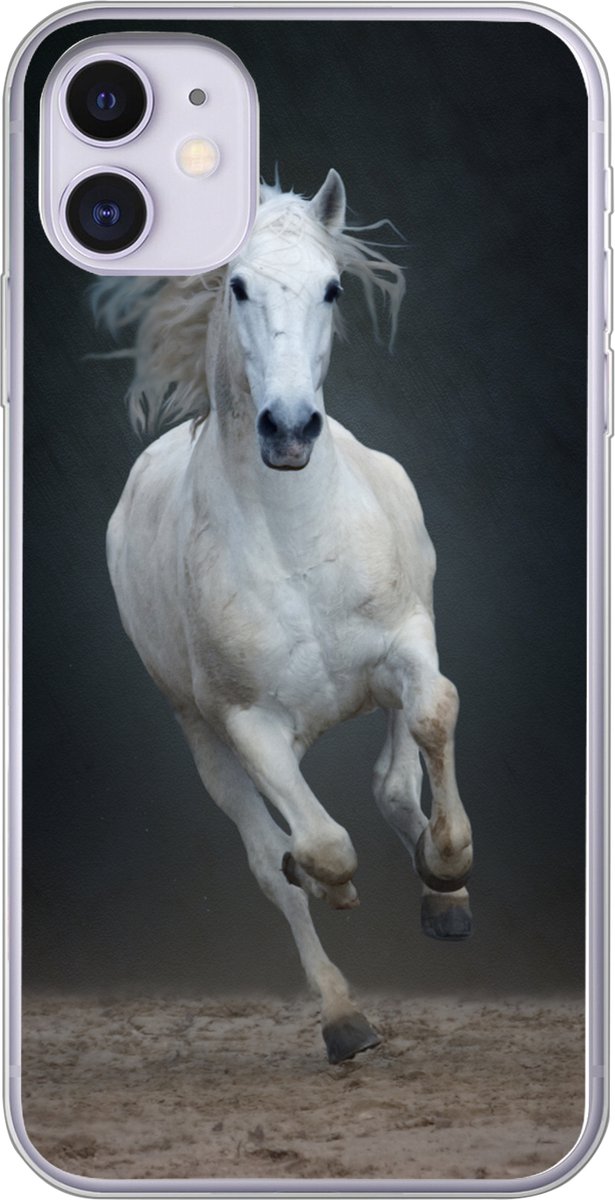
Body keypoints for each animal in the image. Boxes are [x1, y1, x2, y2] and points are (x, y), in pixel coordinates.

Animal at [95, 170, 474, 1065]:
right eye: (236, 286)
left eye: (331, 287)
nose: (291, 428)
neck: (295, 538)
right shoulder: (247, 725)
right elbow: (316, 848)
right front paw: (335, 890)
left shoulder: (407, 644)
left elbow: (433, 716)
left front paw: (447, 872)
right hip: (203, 734)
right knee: (273, 859)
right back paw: (343, 1020)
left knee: (392, 779)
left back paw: (439, 896)